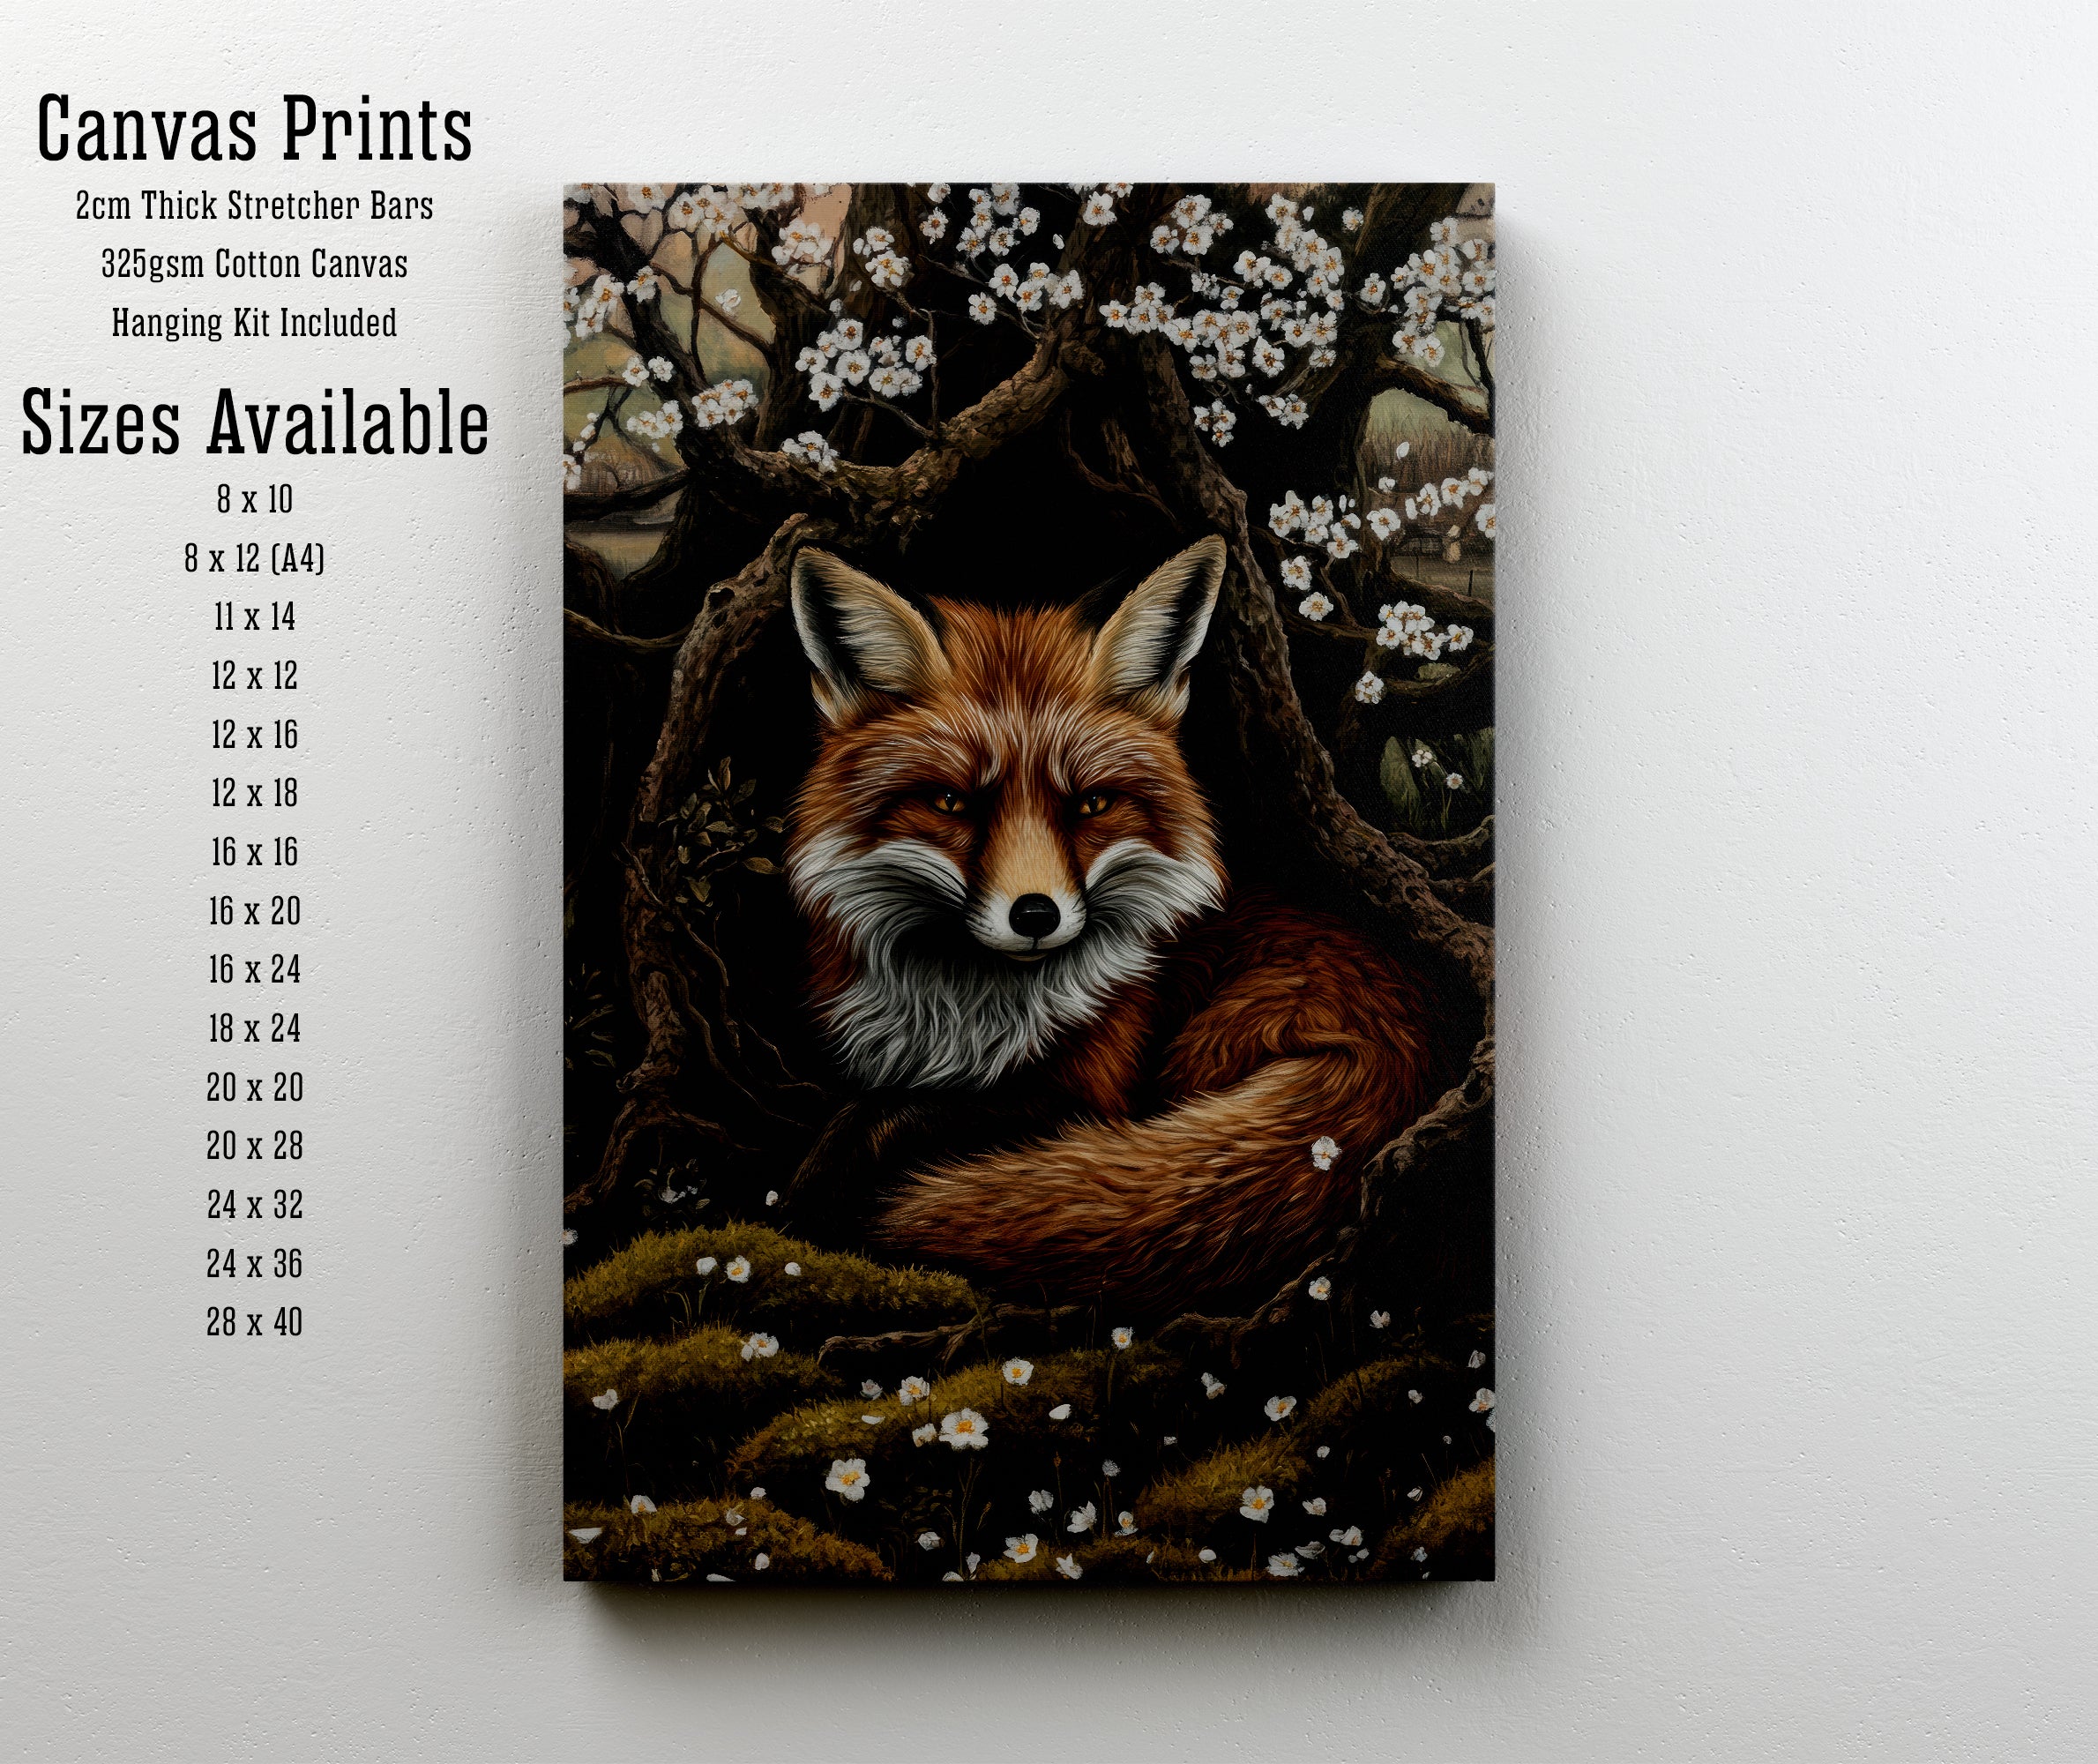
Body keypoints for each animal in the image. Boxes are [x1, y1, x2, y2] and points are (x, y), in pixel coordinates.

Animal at [782, 534, 1438, 1317]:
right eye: (950, 803)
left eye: (1090, 806)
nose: (1035, 914)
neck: (967, 1009)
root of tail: (1403, 1042)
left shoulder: (1088, 1093)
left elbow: (896, 1114)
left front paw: (823, 1191)